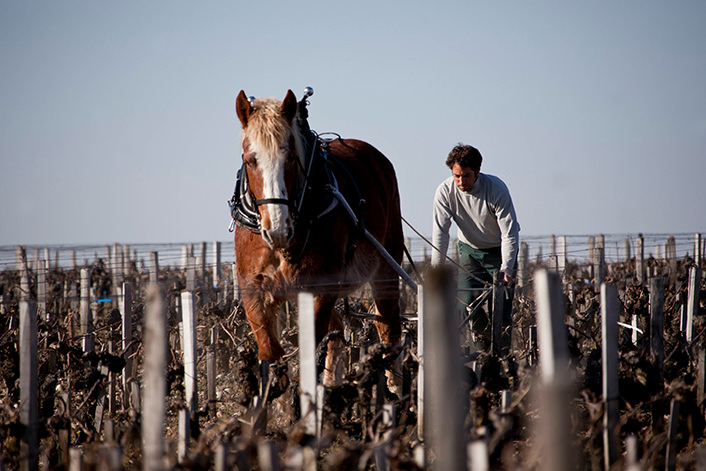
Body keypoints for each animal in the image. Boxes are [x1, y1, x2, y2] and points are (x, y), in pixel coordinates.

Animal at [231, 88, 404, 390]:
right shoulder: (254, 291)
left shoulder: (321, 287)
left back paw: (395, 387)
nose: (277, 229)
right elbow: (271, 352)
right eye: (250, 159)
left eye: (290, 158)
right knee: (337, 331)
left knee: (387, 323)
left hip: (386, 264)